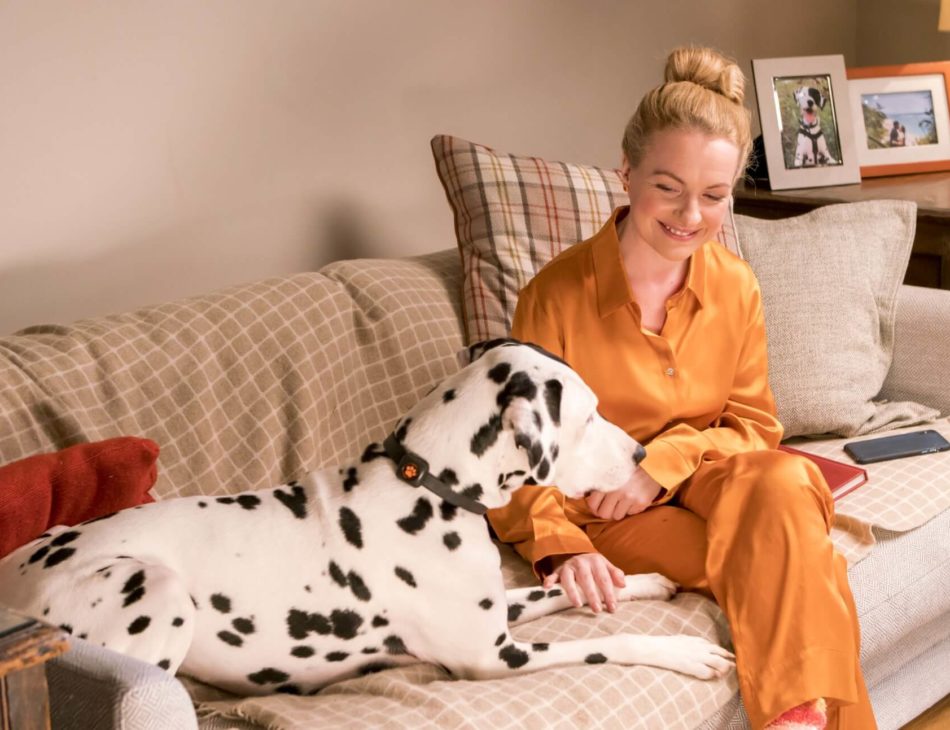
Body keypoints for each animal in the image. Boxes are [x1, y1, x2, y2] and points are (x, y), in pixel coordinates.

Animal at [0, 338, 736, 692]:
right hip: (155, 589)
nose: (641, 452)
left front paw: (640, 581)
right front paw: (682, 650)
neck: (432, 487)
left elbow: (560, 587)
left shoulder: (497, 609)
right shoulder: (494, 658)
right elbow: (615, 643)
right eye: (587, 418)